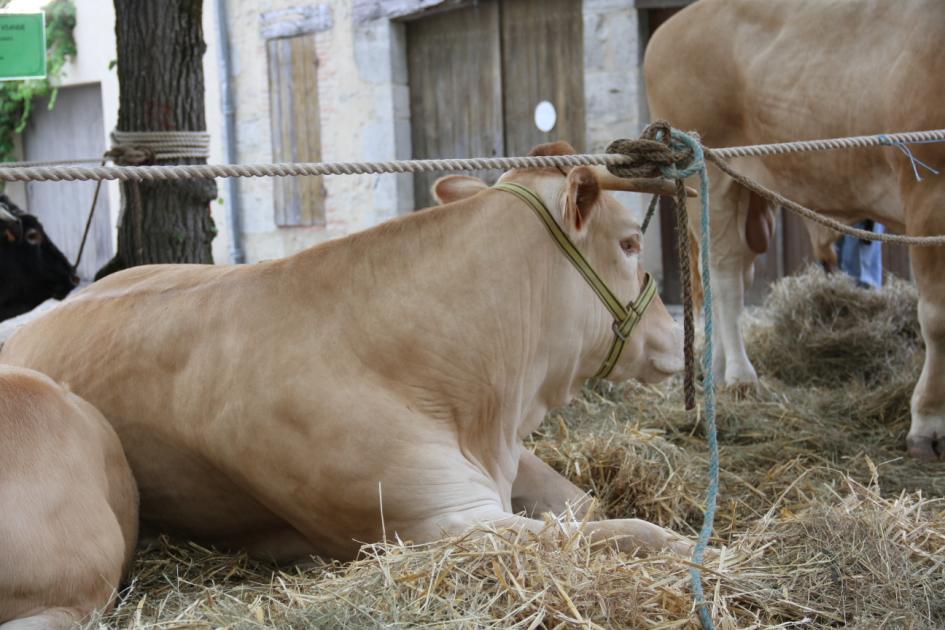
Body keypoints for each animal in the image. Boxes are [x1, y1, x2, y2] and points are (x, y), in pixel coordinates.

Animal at [644, 0, 944, 464]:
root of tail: (673, 26)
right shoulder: (928, 194)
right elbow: (936, 318)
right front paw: (927, 422)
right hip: (710, 173)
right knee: (723, 276)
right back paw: (740, 375)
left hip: (749, 194)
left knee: (719, 277)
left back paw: (715, 367)